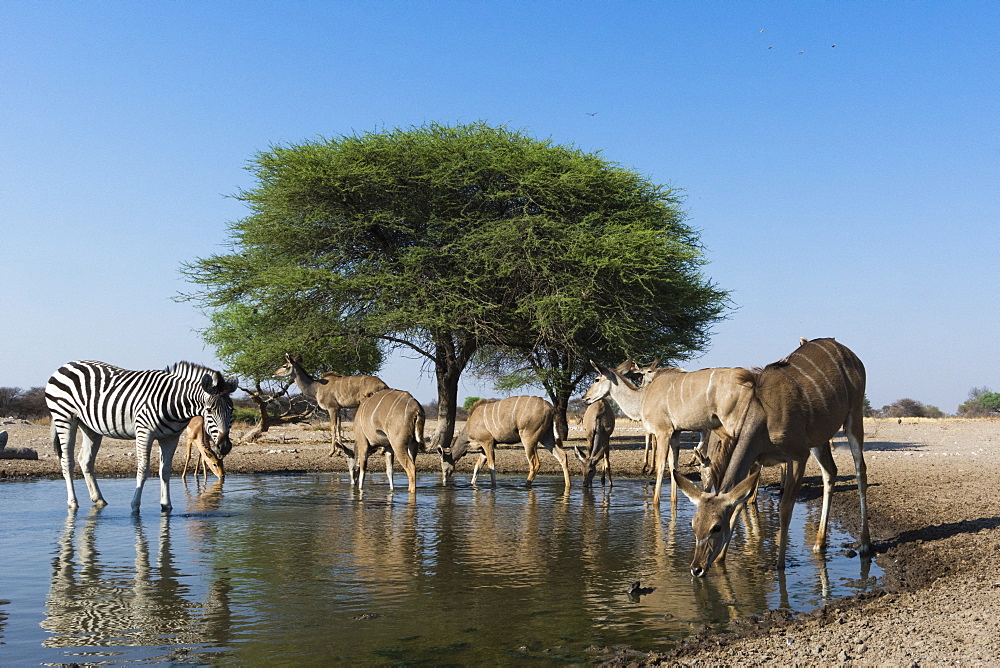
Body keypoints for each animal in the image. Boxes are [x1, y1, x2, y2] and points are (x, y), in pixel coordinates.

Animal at [44, 360, 238, 512]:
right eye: (209, 410)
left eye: (232, 410)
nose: (224, 446)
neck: (173, 403)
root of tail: (66, 365)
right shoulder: (144, 432)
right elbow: (143, 469)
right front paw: (135, 505)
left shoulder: (171, 437)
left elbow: (165, 470)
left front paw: (166, 505)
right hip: (65, 417)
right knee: (67, 461)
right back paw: (73, 503)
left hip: (90, 426)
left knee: (85, 459)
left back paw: (99, 499)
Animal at [438, 394, 572, 488]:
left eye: (443, 463)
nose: (444, 479)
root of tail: (551, 408)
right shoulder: (484, 448)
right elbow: (478, 466)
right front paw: (472, 484)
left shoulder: (487, 442)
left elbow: (491, 465)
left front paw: (494, 486)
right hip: (546, 437)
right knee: (562, 455)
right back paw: (568, 485)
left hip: (528, 438)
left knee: (535, 464)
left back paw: (526, 485)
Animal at [580, 362, 752, 504]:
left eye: (596, 379)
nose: (584, 398)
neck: (643, 397)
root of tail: (751, 379)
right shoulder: (675, 433)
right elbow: (673, 465)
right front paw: (673, 501)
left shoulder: (663, 432)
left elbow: (661, 465)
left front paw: (656, 501)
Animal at [676, 340, 872, 576]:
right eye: (693, 524)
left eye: (716, 527)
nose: (696, 568)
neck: (763, 416)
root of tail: (849, 353)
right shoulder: (756, 461)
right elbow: (739, 504)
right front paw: (721, 560)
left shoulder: (798, 455)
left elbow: (785, 508)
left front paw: (780, 565)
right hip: (819, 439)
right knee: (830, 472)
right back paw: (819, 542)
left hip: (854, 416)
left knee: (860, 471)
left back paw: (865, 544)